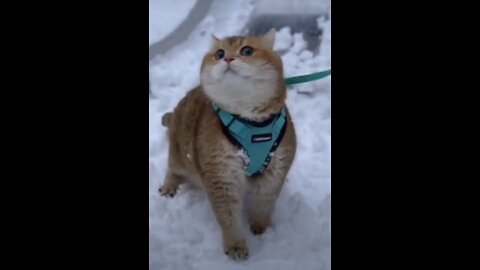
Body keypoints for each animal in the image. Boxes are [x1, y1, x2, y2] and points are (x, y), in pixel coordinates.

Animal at [159, 29, 296, 260]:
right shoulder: (221, 173)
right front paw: (236, 245)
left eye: (247, 51)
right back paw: (169, 186)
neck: (250, 119)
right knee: (172, 167)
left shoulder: (276, 168)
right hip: (179, 154)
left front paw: (260, 228)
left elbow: (264, 204)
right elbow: (228, 215)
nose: (228, 59)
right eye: (219, 53)